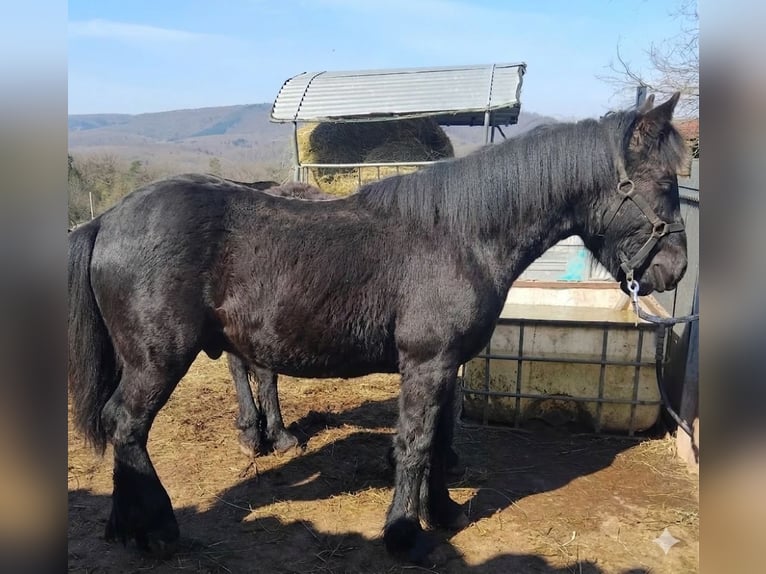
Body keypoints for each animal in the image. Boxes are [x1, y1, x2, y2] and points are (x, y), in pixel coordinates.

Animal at [68, 93, 688, 563]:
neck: (459, 236)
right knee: (126, 425)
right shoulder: (427, 364)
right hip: (158, 358)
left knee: (124, 428)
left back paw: (127, 525)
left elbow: (440, 441)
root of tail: (106, 220)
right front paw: (404, 534)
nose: (675, 268)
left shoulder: (447, 366)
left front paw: (443, 512)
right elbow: (414, 445)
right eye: (663, 182)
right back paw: (158, 529)